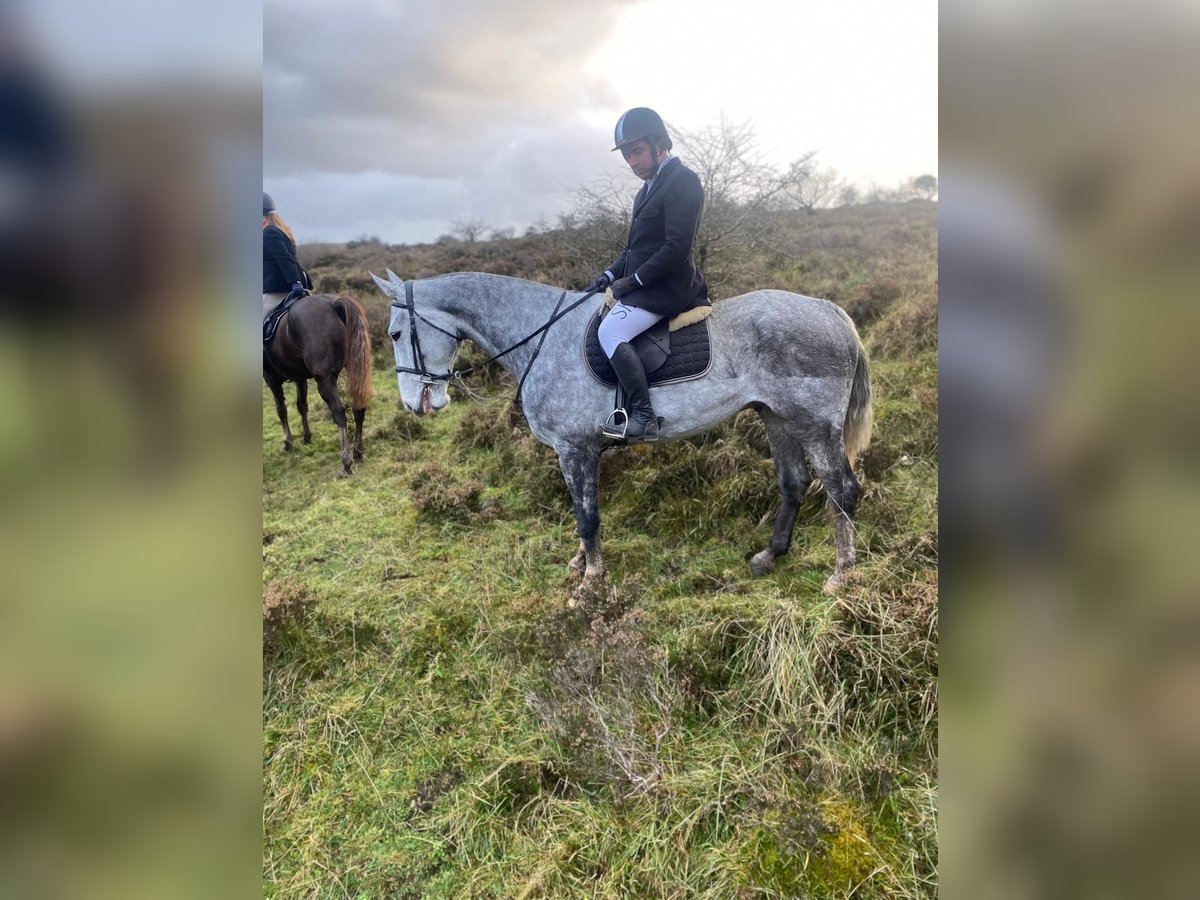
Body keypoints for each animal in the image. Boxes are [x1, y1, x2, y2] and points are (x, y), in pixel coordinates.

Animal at [265, 296, 372, 480]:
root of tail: (332, 304)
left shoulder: (271, 378)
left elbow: (281, 410)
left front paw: (287, 442)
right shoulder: (299, 378)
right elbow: (302, 406)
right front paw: (307, 437)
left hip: (324, 380)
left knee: (339, 412)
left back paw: (346, 463)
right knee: (358, 408)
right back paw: (357, 452)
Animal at [374, 270, 873, 592]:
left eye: (395, 333)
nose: (414, 403)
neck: (542, 336)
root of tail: (830, 311)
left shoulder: (574, 449)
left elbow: (587, 515)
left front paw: (590, 582)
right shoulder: (578, 452)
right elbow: (582, 512)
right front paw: (580, 563)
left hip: (814, 426)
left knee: (842, 491)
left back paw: (842, 574)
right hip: (776, 418)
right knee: (794, 484)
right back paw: (770, 556)